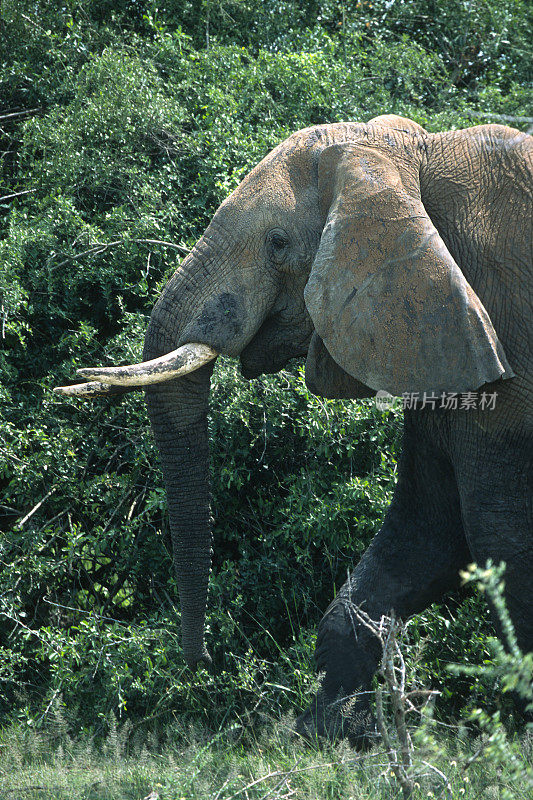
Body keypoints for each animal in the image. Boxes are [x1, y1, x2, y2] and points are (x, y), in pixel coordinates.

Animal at [56, 114, 528, 744]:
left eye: (277, 243)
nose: (198, 663)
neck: (415, 159)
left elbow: (498, 538)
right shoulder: (441, 340)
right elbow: (427, 528)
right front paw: (329, 734)